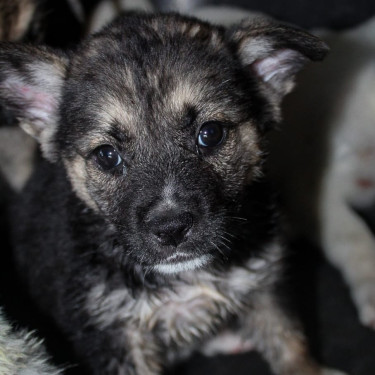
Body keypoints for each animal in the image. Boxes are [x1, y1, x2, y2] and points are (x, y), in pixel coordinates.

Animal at [0, 11, 346, 375]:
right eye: (107, 156)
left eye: (211, 134)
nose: (171, 229)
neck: (187, 275)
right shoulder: (116, 335)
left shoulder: (263, 283)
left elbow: (288, 339)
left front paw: (308, 368)